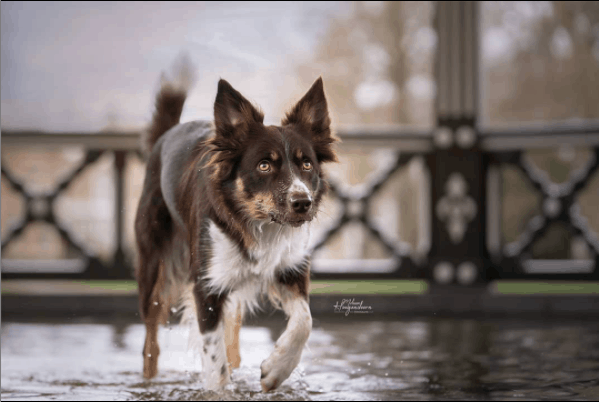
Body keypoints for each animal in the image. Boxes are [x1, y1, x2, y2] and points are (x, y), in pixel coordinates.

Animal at [135, 65, 338, 390]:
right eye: (264, 165)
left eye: (306, 164)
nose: (303, 203)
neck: (259, 224)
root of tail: (166, 135)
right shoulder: (206, 286)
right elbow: (215, 365)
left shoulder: (290, 268)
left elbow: (304, 322)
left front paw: (276, 368)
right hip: (154, 270)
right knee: (150, 344)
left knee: (233, 346)